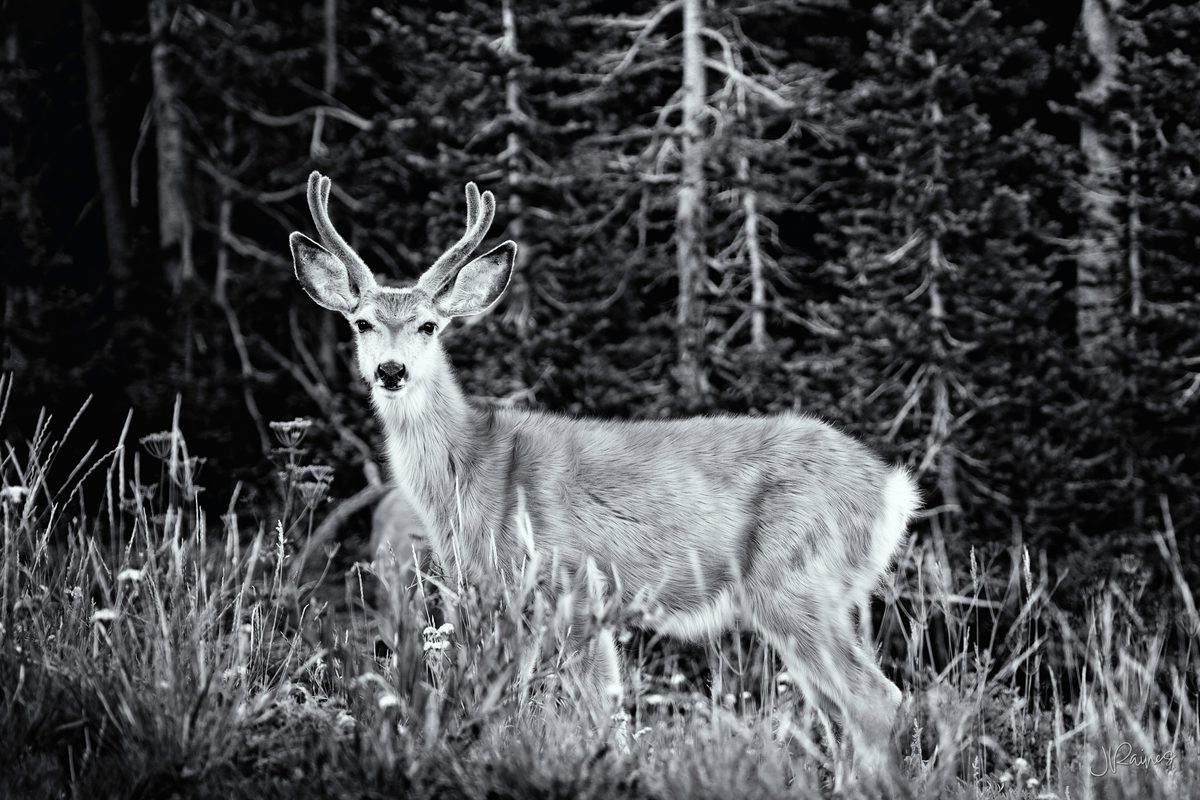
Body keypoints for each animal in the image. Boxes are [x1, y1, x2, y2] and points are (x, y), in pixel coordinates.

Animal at [288, 171, 920, 774]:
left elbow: (600, 712)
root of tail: (891, 488)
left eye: (428, 326)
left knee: (875, 700)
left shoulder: (573, 586)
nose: (391, 371)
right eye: (362, 322)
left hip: (795, 581)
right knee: (843, 713)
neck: (474, 469)